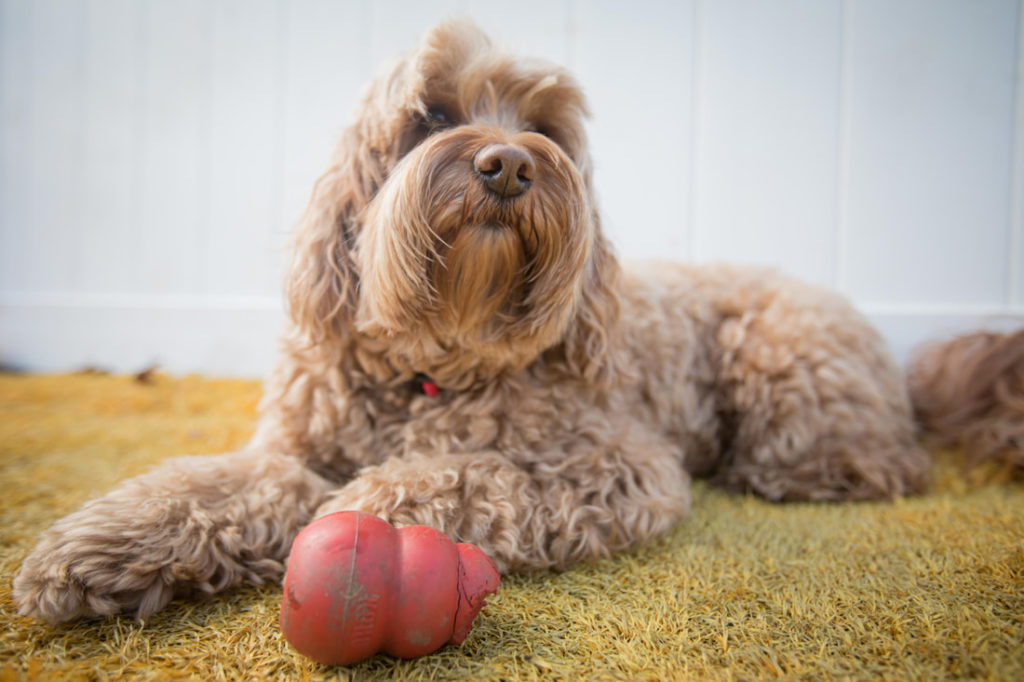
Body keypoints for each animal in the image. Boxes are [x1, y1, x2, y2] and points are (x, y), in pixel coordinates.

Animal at [9, 23, 937, 622]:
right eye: (431, 115)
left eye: (544, 127)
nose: (510, 163)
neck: (431, 365)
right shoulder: (291, 447)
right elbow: (224, 485)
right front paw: (104, 546)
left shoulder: (620, 464)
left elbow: (469, 476)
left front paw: (370, 505)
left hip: (781, 365)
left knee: (878, 464)